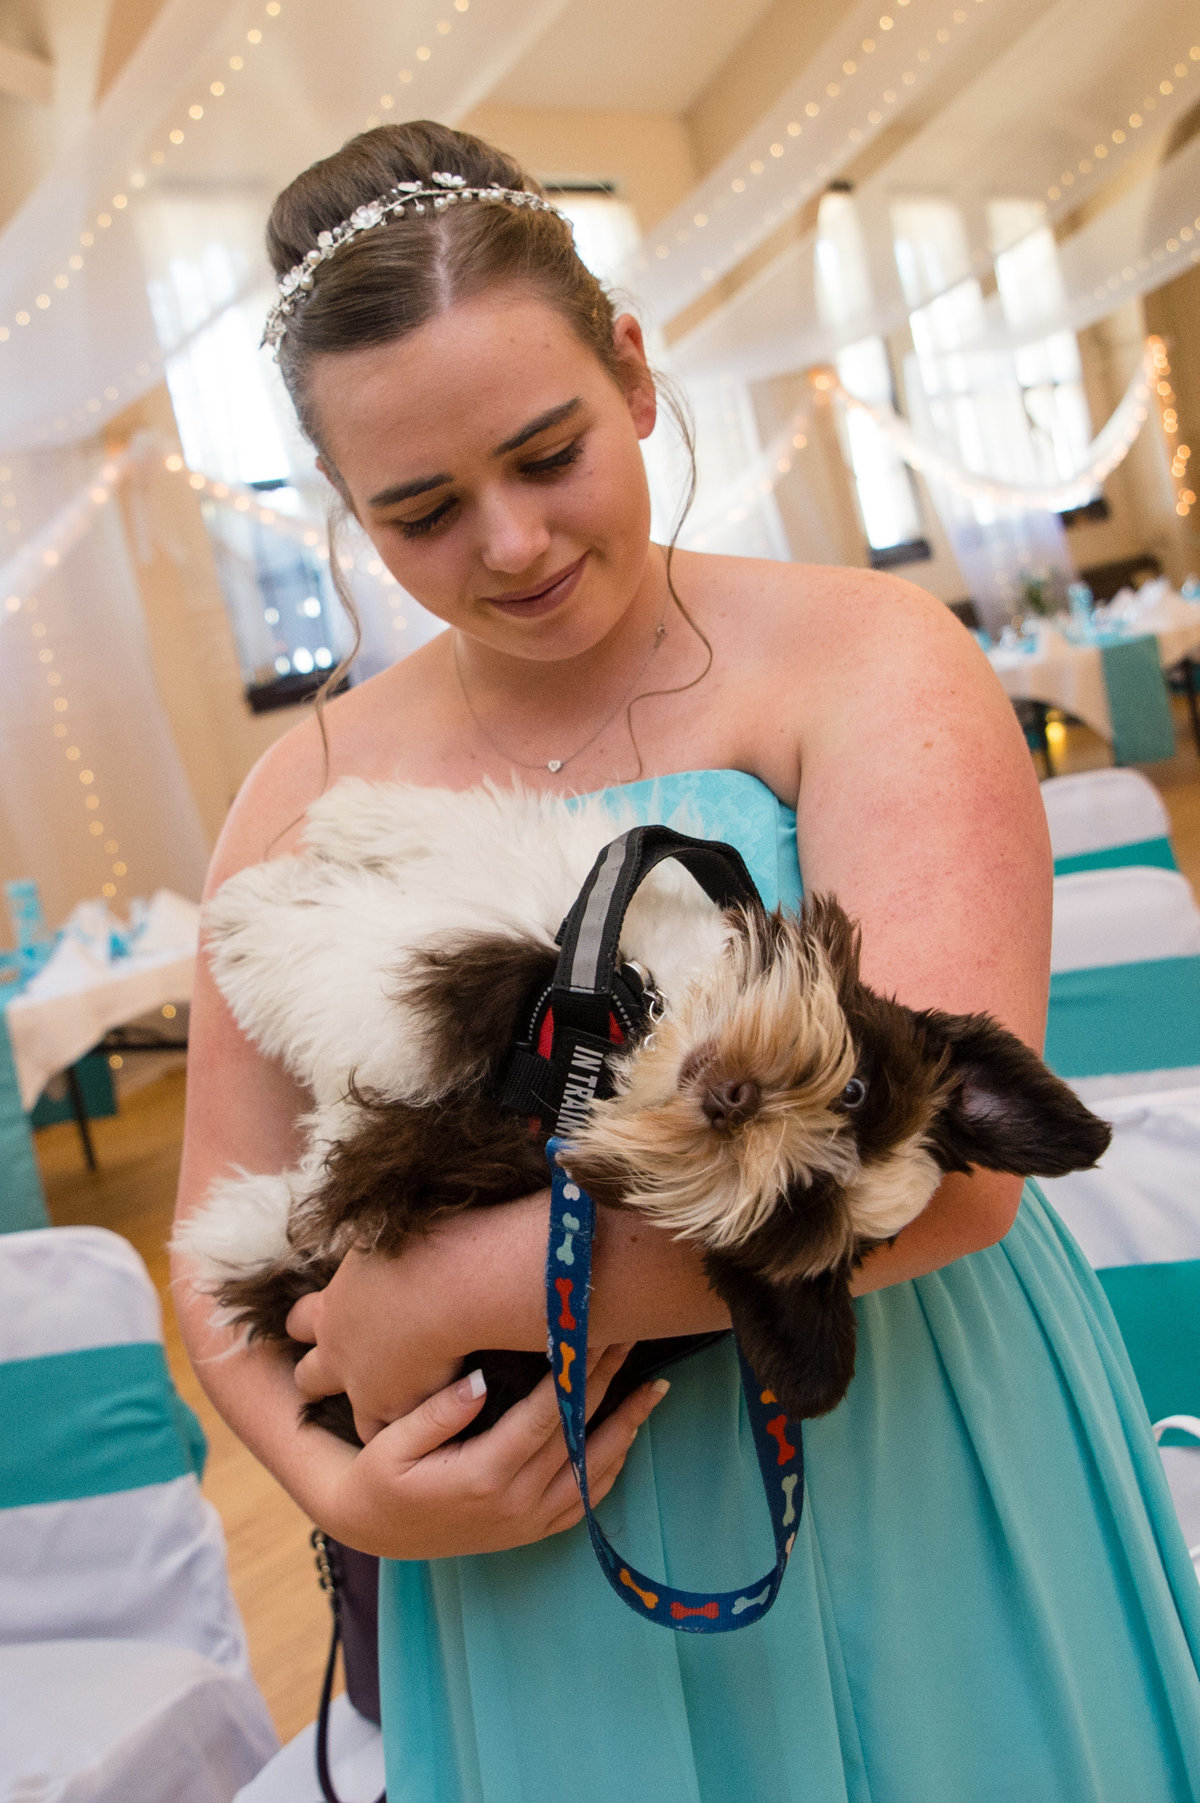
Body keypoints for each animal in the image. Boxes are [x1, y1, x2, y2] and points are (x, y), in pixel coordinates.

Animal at [180, 775, 1109, 1435]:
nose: (735, 1100)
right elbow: (474, 830)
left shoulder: (444, 1025)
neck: (634, 1013)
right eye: (856, 1089)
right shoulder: (572, 886)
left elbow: (341, 953)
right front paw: (349, 816)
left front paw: (244, 914)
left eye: (796, 1201)